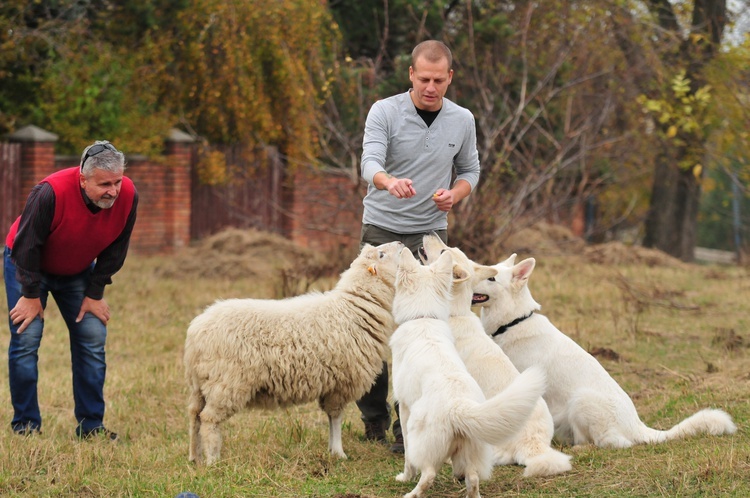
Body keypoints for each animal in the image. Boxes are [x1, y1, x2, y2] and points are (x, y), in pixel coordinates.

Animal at [183, 241, 406, 466]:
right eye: (381, 254)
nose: (400, 242)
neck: (354, 308)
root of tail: (196, 331)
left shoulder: (331, 383)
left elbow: (330, 417)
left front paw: (332, 451)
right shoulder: (340, 383)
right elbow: (336, 417)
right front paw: (339, 452)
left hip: (201, 383)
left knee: (194, 415)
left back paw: (195, 456)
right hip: (226, 381)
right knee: (209, 419)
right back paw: (213, 460)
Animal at [388, 249, 548, 498]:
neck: (423, 318)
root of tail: (459, 408)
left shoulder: (404, 408)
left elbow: (406, 454)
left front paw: (405, 476)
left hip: (423, 440)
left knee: (429, 474)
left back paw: (413, 493)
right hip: (471, 450)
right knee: (472, 478)